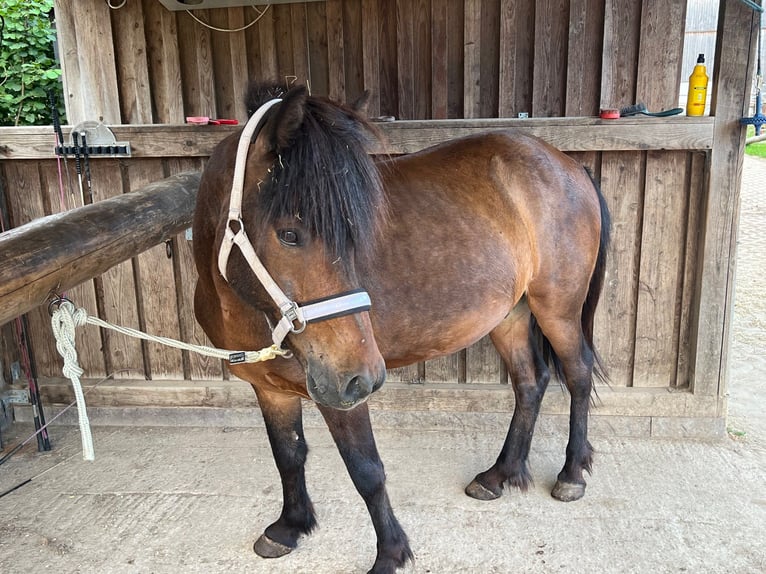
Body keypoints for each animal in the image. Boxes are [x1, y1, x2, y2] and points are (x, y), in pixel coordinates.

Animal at [192, 82, 610, 574]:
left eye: (355, 234)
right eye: (289, 234)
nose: (367, 376)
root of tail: (569, 164)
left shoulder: (341, 394)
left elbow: (367, 471)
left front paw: (391, 554)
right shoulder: (270, 388)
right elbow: (289, 455)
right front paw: (290, 527)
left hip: (557, 308)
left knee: (578, 375)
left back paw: (571, 474)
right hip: (508, 315)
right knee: (531, 382)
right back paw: (500, 475)